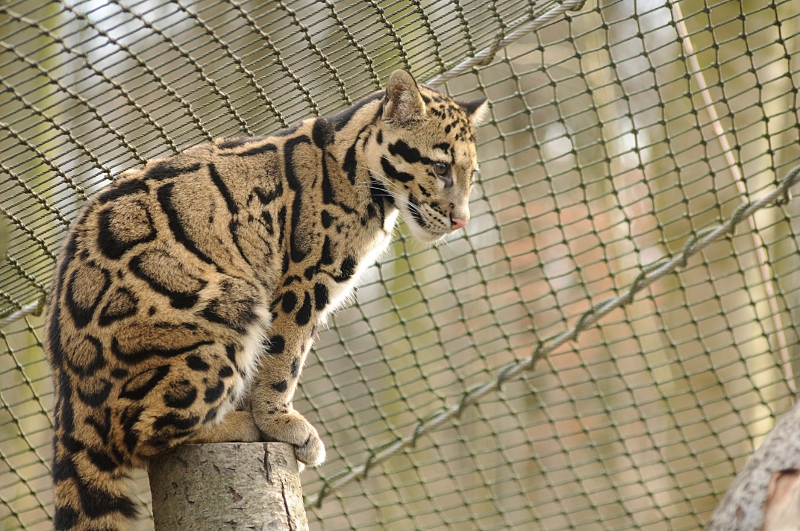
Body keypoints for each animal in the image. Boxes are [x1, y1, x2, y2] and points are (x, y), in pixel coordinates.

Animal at [44, 69, 487, 530]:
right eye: (439, 167)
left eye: (472, 174)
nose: (462, 220)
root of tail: (69, 408)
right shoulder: (304, 282)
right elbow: (282, 359)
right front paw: (278, 421)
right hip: (228, 309)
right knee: (144, 433)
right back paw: (237, 424)